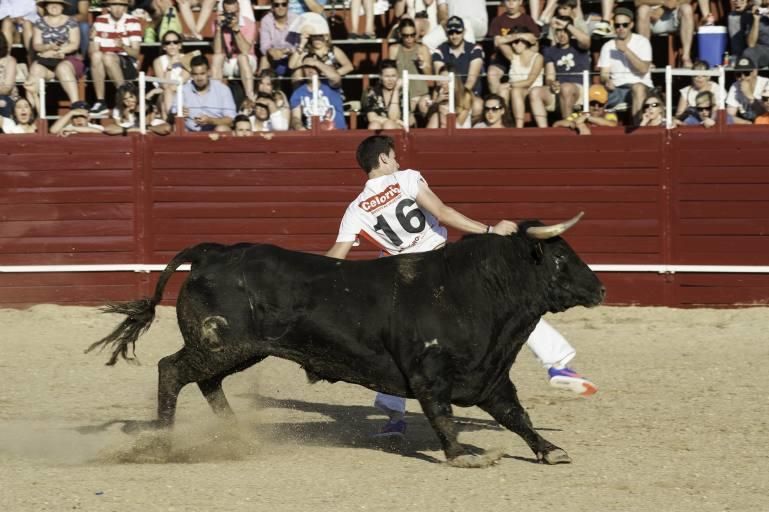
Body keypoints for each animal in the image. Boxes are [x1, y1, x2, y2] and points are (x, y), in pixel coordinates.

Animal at [90, 214, 604, 466]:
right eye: (560, 260)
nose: (600, 288)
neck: (474, 289)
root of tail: (211, 252)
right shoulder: (430, 376)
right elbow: (442, 416)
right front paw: (462, 457)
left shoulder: (490, 377)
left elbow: (517, 415)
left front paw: (551, 451)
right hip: (222, 345)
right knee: (171, 370)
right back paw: (162, 443)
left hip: (237, 351)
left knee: (206, 382)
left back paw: (237, 436)